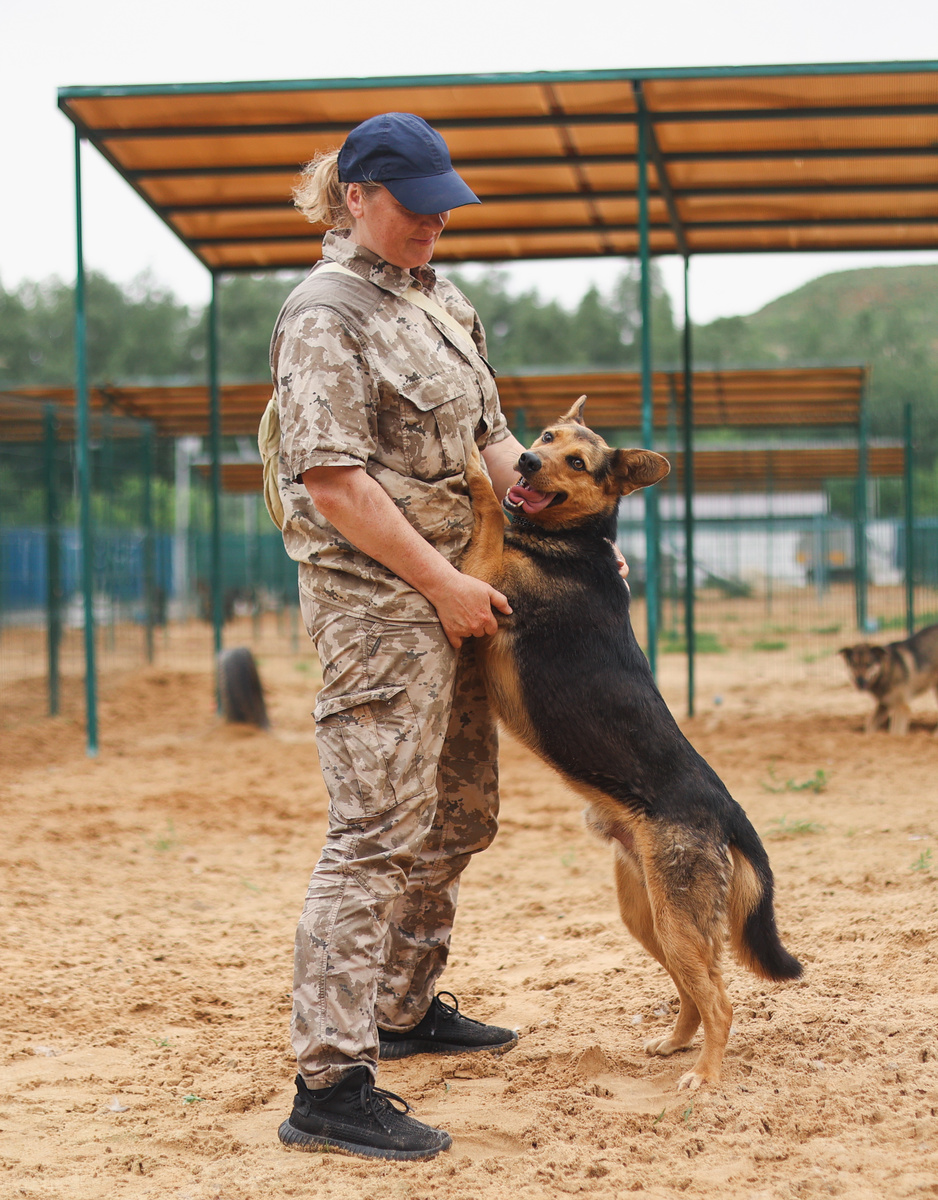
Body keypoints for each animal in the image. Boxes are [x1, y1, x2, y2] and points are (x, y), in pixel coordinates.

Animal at [463, 398, 801, 1094]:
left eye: (576, 463)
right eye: (546, 438)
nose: (525, 461)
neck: (573, 542)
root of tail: (728, 812)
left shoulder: (481, 581)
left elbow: (487, 511)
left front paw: (474, 470)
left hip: (674, 919)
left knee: (721, 1000)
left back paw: (704, 1078)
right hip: (649, 917)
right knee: (695, 992)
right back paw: (675, 1046)